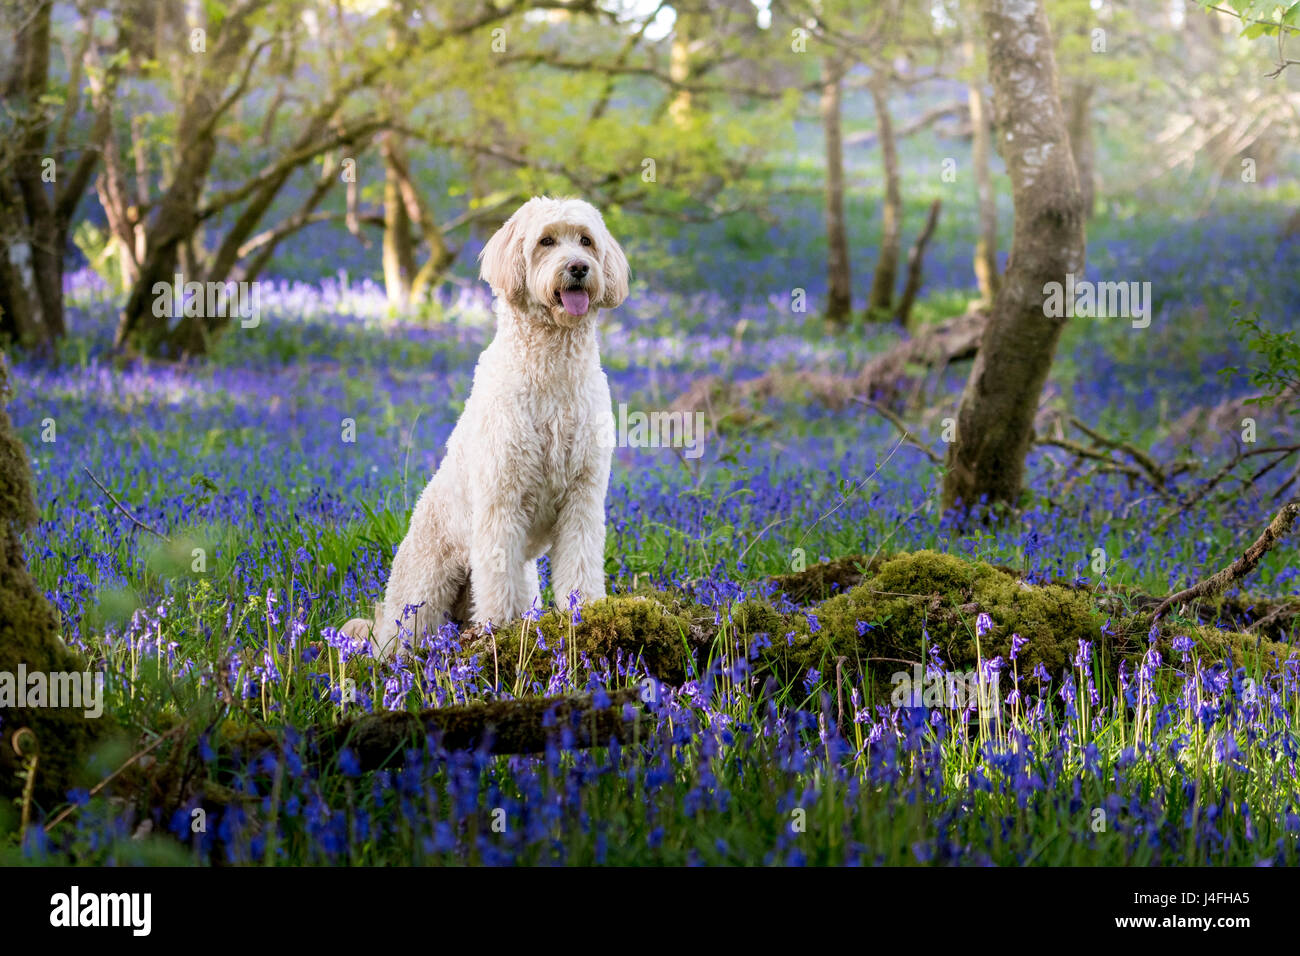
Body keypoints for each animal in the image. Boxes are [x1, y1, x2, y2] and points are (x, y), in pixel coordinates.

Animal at [345, 195, 629, 658]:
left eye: (586, 241)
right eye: (546, 241)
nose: (579, 267)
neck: (551, 368)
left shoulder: (583, 496)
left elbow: (581, 562)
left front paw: (584, 610)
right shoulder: (502, 497)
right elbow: (497, 576)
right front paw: (501, 627)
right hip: (421, 596)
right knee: (396, 642)